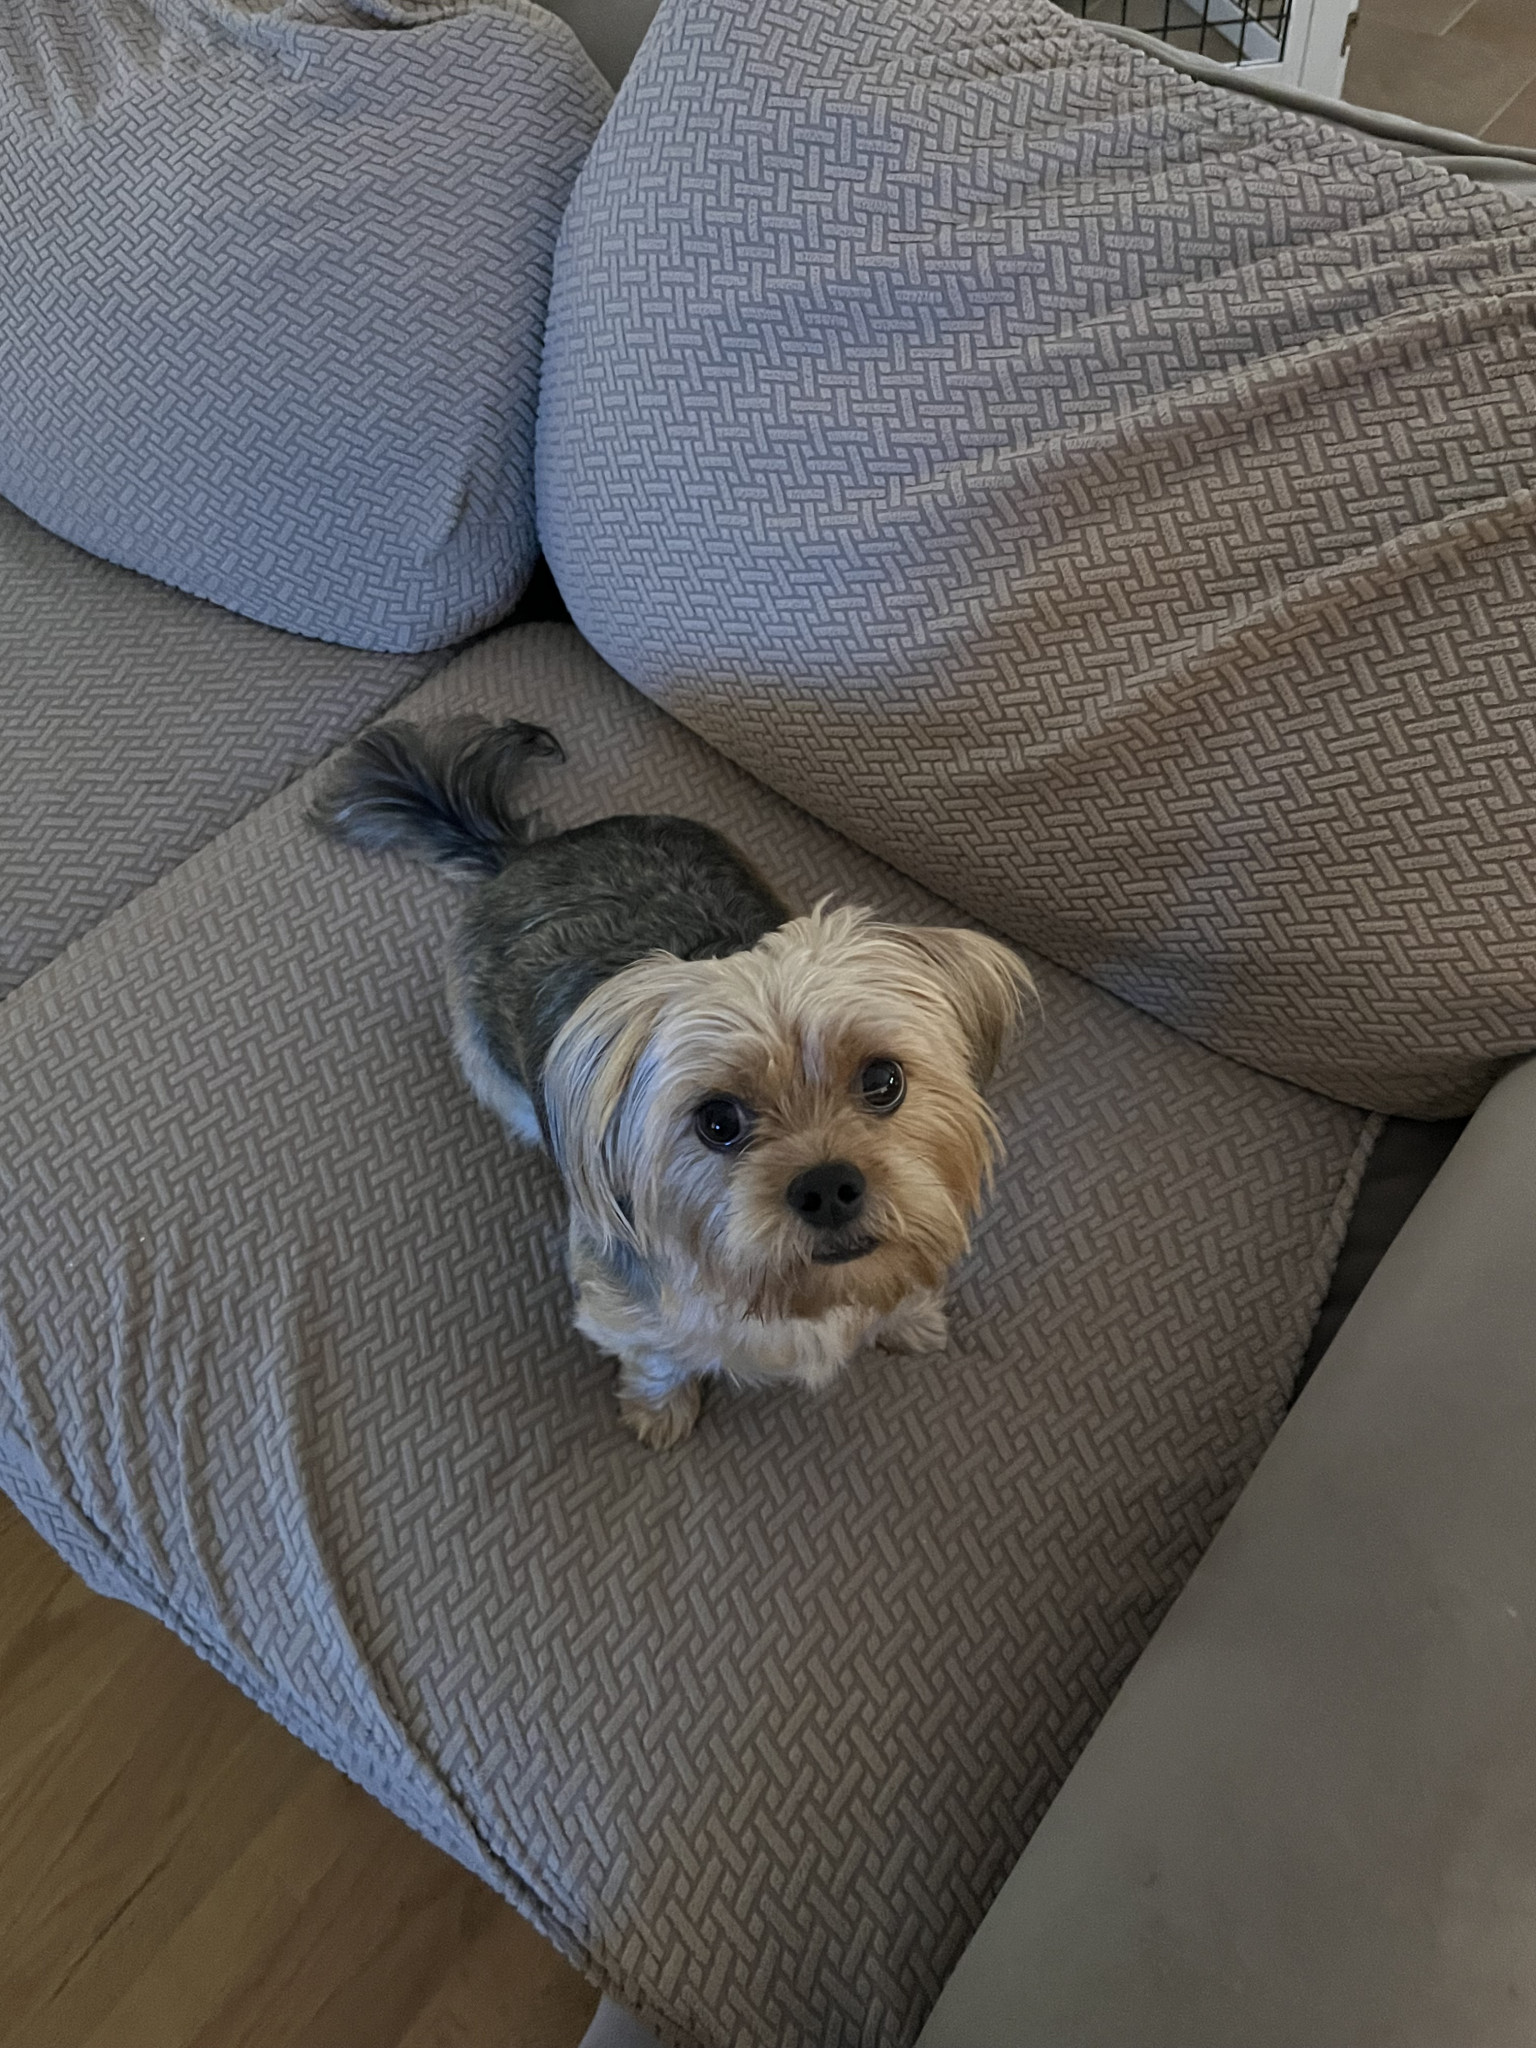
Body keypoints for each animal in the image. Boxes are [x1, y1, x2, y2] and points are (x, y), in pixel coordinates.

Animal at [312, 717, 1031, 1447]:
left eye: (883, 1080)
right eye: (717, 1122)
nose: (827, 1187)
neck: (794, 1294)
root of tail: (527, 851)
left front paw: (907, 1314)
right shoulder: (623, 1309)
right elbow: (658, 1358)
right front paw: (660, 1411)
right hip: (494, 1072)